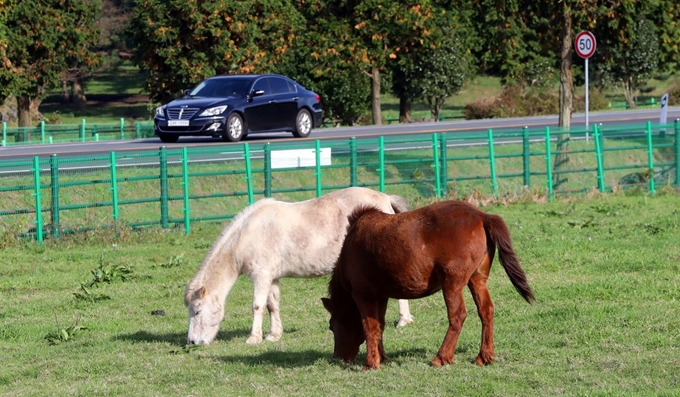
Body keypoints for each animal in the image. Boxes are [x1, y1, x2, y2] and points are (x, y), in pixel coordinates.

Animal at [185, 186, 414, 344]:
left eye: (197, 312)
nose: (192, 342)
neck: (248, 233)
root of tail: (385, 199)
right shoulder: (272, 277)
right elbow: (272, 305)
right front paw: (274, 335)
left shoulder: (261, 275)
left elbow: (258, 306)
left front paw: (253, 338)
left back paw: (403, 320)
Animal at [322, 200, 532, 370]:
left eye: (332, 325)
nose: (338, 357)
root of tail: (482, 216)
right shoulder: (381, 296)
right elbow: (379, 325)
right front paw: (382, 357)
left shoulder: (362, 294)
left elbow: (370, 326)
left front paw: (371, 363)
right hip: (477, 279)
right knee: (486, 311)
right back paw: (484, 356)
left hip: (452, 283)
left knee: (457, 315)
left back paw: (442, 357)